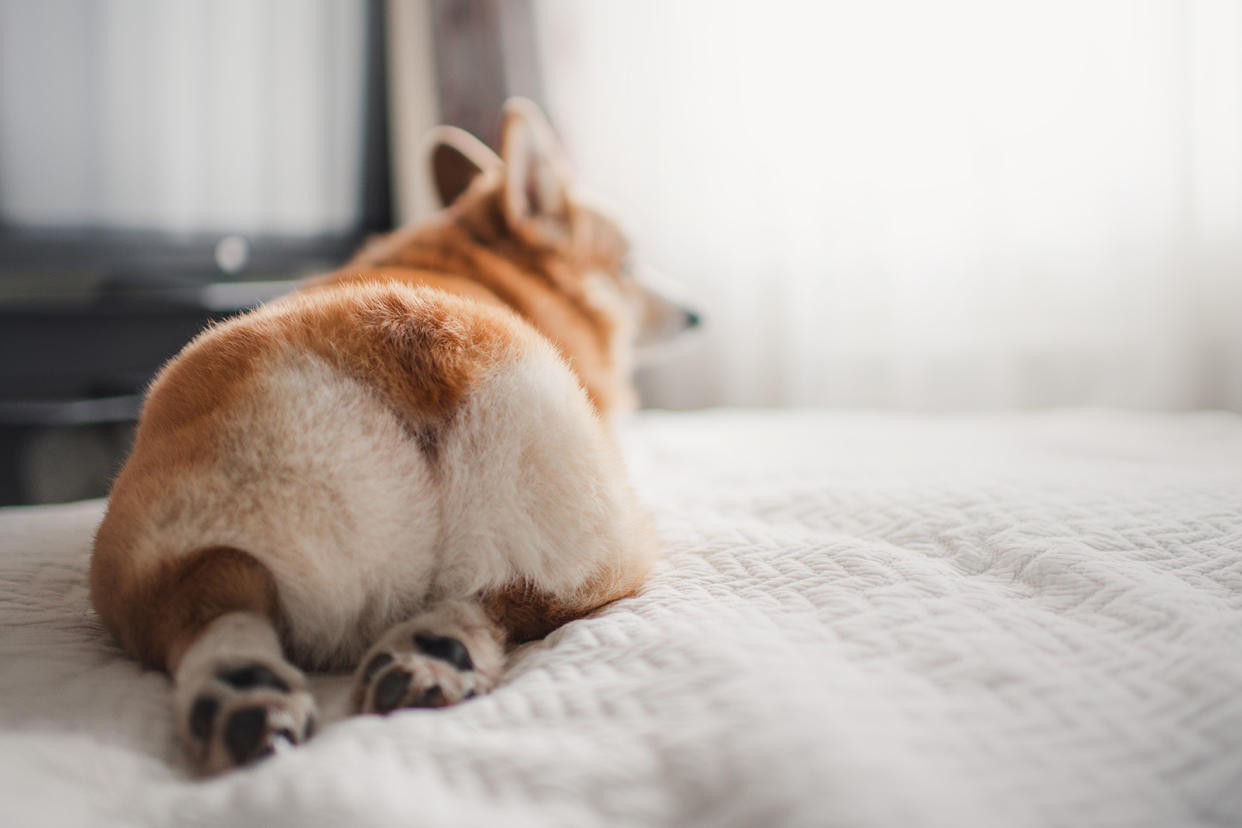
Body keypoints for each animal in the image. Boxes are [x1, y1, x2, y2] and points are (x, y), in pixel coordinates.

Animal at [87, 100, 700, 774]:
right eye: (628, 266)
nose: (698, 315)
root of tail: (419, 340)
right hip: (609, 542)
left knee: (214, 596)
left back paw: (266, 689)